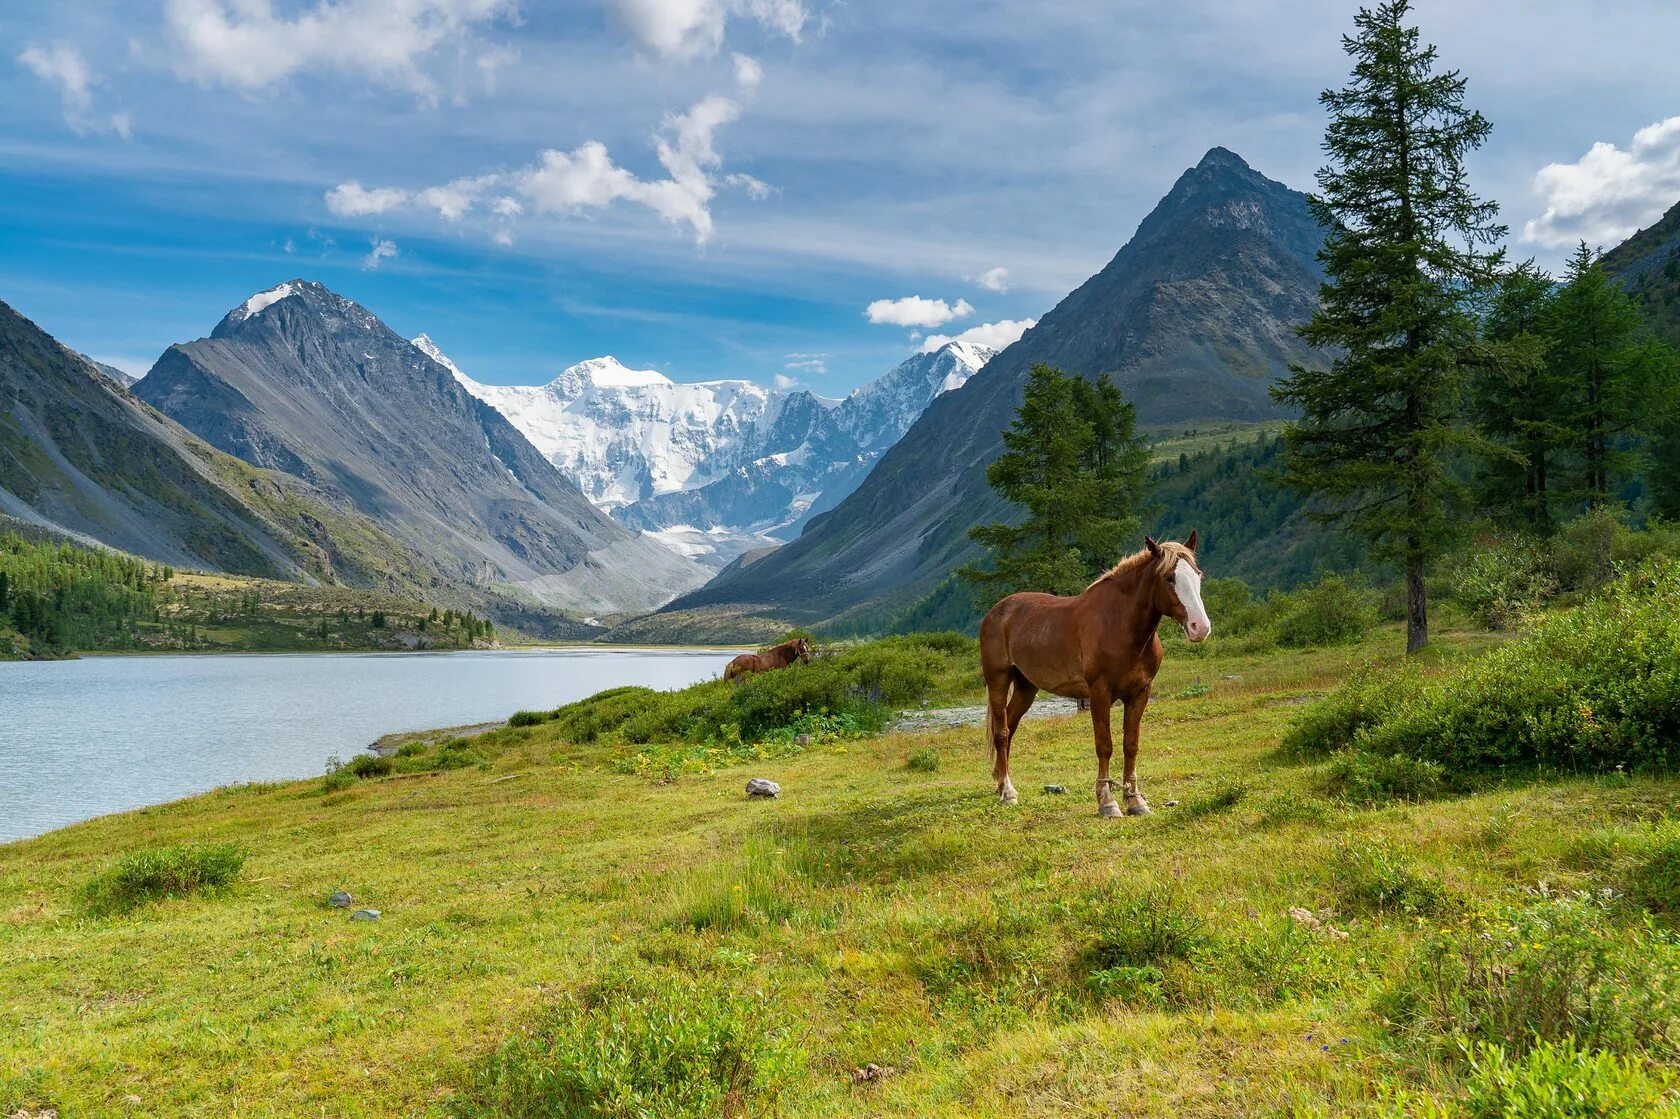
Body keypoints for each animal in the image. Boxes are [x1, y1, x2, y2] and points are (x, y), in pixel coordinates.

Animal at [981, 530, 1209, 809]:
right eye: (1169, 577)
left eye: (1198, 574)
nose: (1200, 627)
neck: (1120, 627)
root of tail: (996, 612)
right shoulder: (1099, 693)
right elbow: (1104, 745)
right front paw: (1107, 801)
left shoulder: (1140, 693)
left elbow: (1130, 744)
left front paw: (1134, 800)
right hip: (998, 680)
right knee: (1001, 732)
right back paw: (1008, 792)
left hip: (1026, 687)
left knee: (1010, 727)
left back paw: (1001, 783)